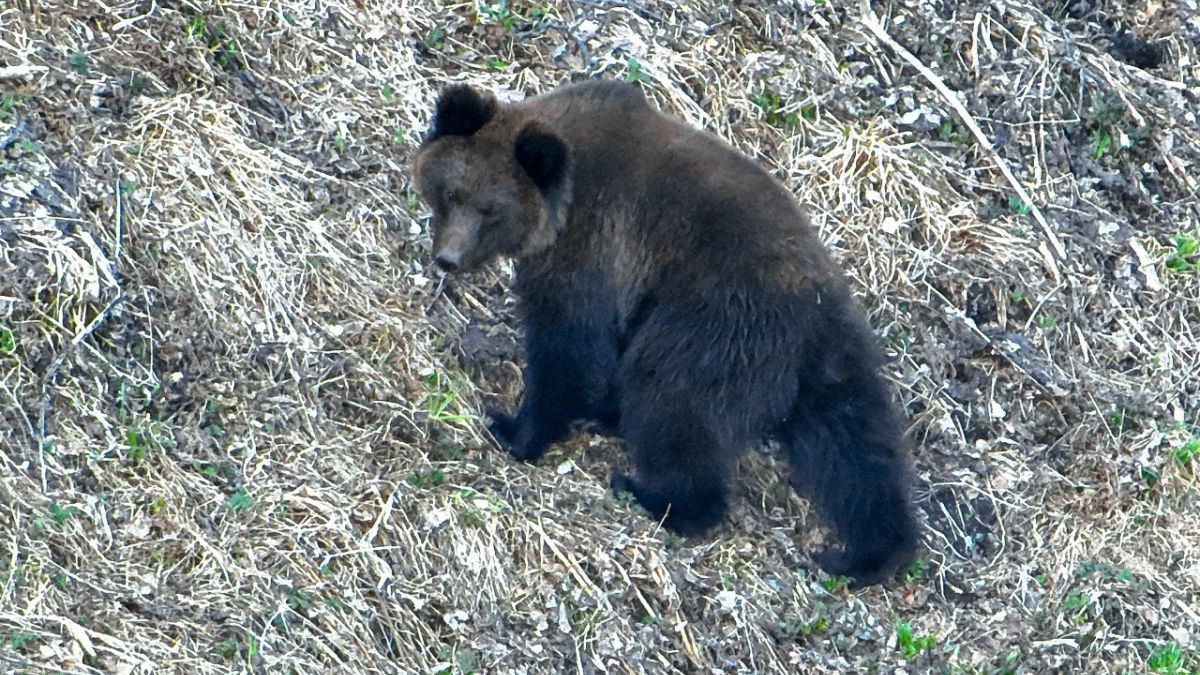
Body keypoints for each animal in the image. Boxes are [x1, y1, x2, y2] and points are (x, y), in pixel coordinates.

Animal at [412, 79, 918, 587]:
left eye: (490, 209)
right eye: (453, 192)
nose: (448, 258)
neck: (560, 205)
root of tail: (810, 316)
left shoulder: (592, 244)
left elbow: (569, 347)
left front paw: (515, 428)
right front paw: (593, 413)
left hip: (713, 326)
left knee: (673, 399)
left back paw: (657, 495)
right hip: (833, 363)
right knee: (857, 450)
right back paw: (869, 553)